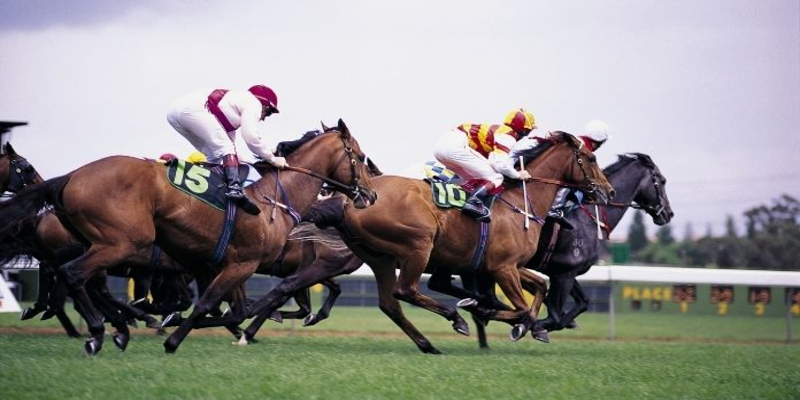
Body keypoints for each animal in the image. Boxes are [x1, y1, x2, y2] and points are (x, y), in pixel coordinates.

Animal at [0, 119, 376, 356]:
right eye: (360, 157)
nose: (371, 195)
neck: (273, 197)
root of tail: (70, 177)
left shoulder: (217, 265)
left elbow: (234, 309)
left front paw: (174, 322)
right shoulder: (240, 264)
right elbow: (212, 305)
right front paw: (173, 338)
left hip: (101, 245)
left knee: (82, 283)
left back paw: (111, 327)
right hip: (122, 242)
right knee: (74, 275)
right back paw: (97, 331)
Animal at [244, 132, 612, 354]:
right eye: (592, 160)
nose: (607, 192)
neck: (521, 203)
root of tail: (353, 200)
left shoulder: (509, 266)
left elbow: (539, 288)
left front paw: (526, 325)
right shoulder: (502, 267)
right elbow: (520, 306)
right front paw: (504, 318)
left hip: (377, 257)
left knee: (388, 302)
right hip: (417, 245)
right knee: (405, 291)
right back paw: (455, 318)